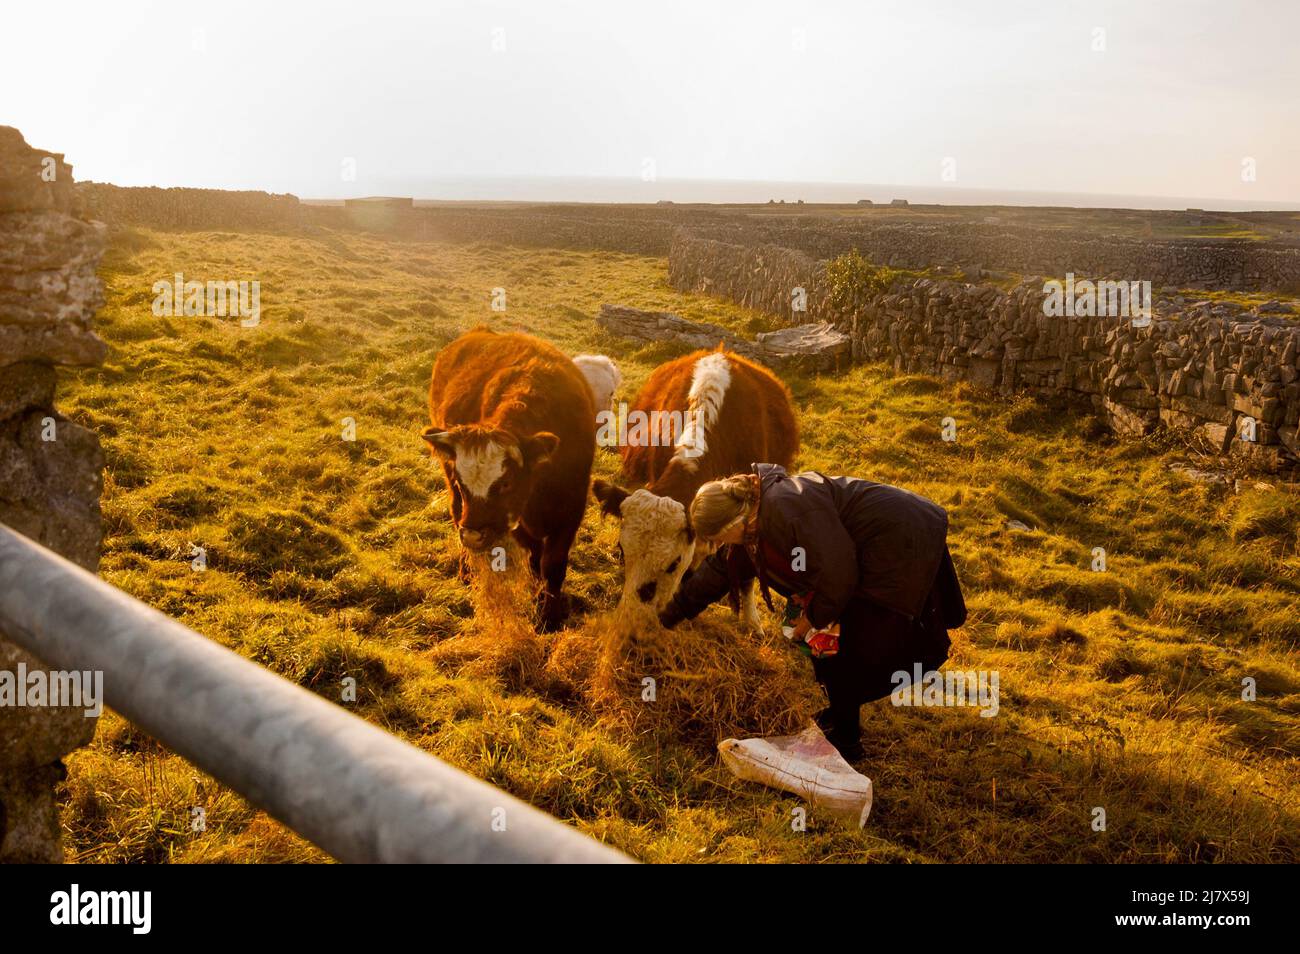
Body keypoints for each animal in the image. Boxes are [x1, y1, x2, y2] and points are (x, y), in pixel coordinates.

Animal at [423, 328, 600, 634]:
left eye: (506, 483)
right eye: (462, 481)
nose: (473, 535)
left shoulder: (571, 509)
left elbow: (552, 563)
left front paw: (549, 614)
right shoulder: (516, 518)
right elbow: (536, 557)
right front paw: (540, 602)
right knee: (456, 512)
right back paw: (466, 570)